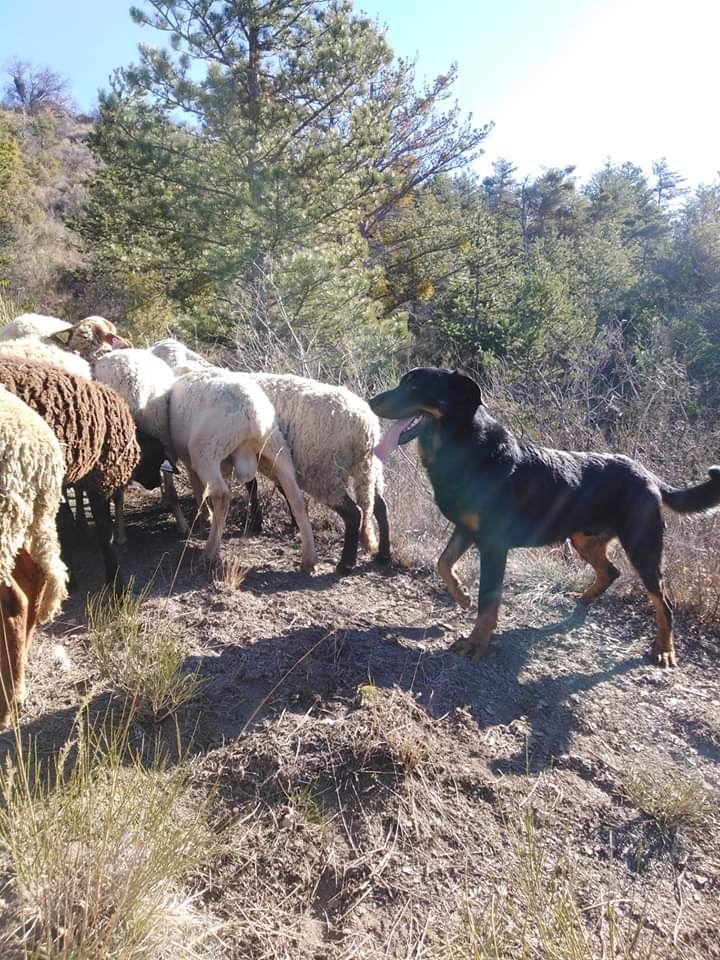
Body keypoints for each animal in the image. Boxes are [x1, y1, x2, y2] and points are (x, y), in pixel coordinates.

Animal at [170, 370, 316, 568]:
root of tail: (251, 413)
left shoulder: (188, 459)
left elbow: (197, 486)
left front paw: (204, 516)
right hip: (276, 448)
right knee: (297, 499)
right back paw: (309, 558)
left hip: (206, 450)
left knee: (222, 495)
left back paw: (210, 553)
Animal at [372, 368, 720, 668]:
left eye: (416, 387)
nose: (373, 401)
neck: (463, 447)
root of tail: (649, 476)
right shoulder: (466, 529)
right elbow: (443, 563)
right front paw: (461, 595)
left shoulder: (494, 546)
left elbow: (488, 602)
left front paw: (476, 643)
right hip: (583, 539)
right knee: (611, 572)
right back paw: (584, 599)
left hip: (643, 548)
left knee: (663, 603)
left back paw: (664, 649)